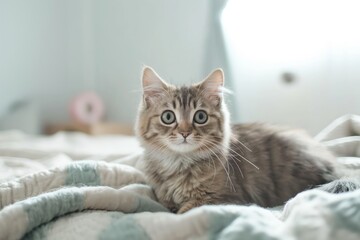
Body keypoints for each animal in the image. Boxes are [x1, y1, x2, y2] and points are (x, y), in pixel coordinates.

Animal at [135, 66, 340, 214]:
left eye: (200, 117)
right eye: (168, 117)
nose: (185, 133)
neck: (179, 163)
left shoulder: (227, 198)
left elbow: (183, 212)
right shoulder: (161, 197)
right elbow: (166, 205)